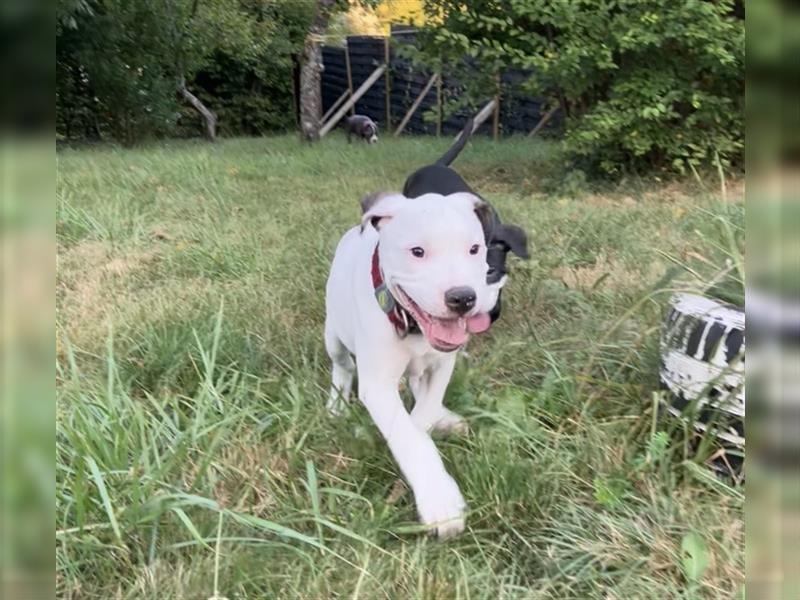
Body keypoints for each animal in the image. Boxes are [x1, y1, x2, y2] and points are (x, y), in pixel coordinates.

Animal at [324, 191, 500, 540]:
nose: (463, 298)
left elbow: (422, 416)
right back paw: (337, 402)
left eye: (474, 249)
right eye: (417, 252)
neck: (412, 326)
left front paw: (431, 424)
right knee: (342, 366)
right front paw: (439, 499)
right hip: (333, 333)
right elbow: (410, 436)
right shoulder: (377, 385)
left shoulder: (443, 364)